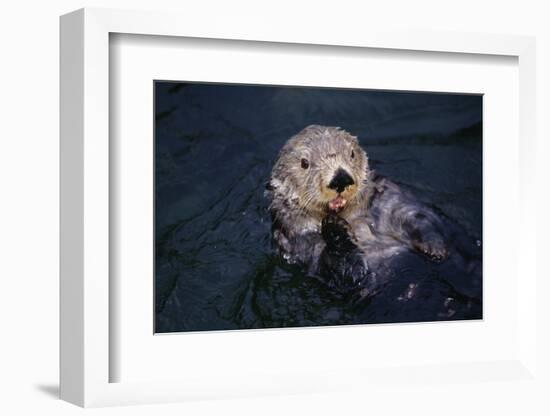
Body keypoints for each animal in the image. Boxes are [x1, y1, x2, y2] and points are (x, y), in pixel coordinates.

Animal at [266, 123, 452, 296]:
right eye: (304, 163)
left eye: (352, 154)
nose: (340, 178)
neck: (351, 219)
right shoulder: (300, 241)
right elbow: (343, 272)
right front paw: (335, 229)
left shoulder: (384, 199)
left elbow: (414, 214)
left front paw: (434, 247)